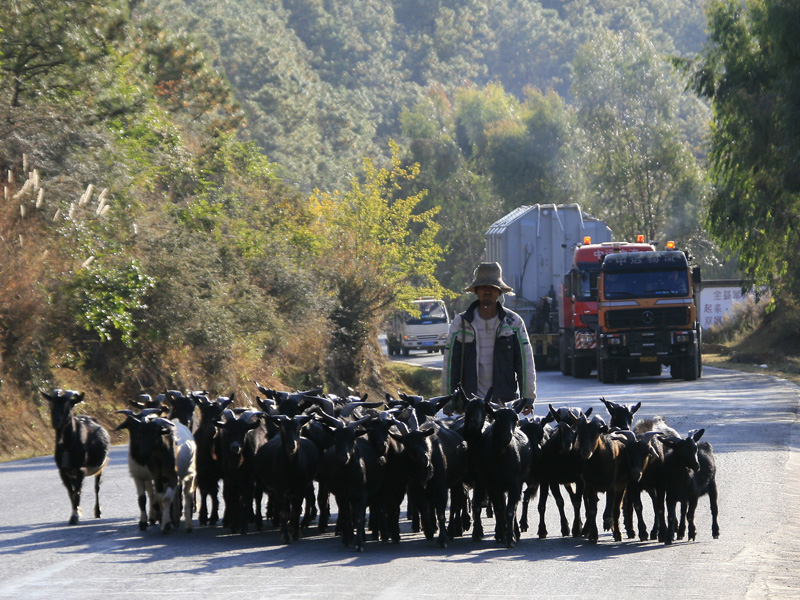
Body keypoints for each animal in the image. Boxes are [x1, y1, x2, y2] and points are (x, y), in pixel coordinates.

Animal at [42, 390, 110, 524]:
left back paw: (98, 512)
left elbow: (77, 493)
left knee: (97, 487)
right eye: (51, 404)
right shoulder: (63, 471)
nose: (56, 422)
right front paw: (75, 513)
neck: (67, 446)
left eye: (67, 406)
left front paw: (75, 517)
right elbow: (71, 493)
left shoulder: (80, 470)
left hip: (100, 467)